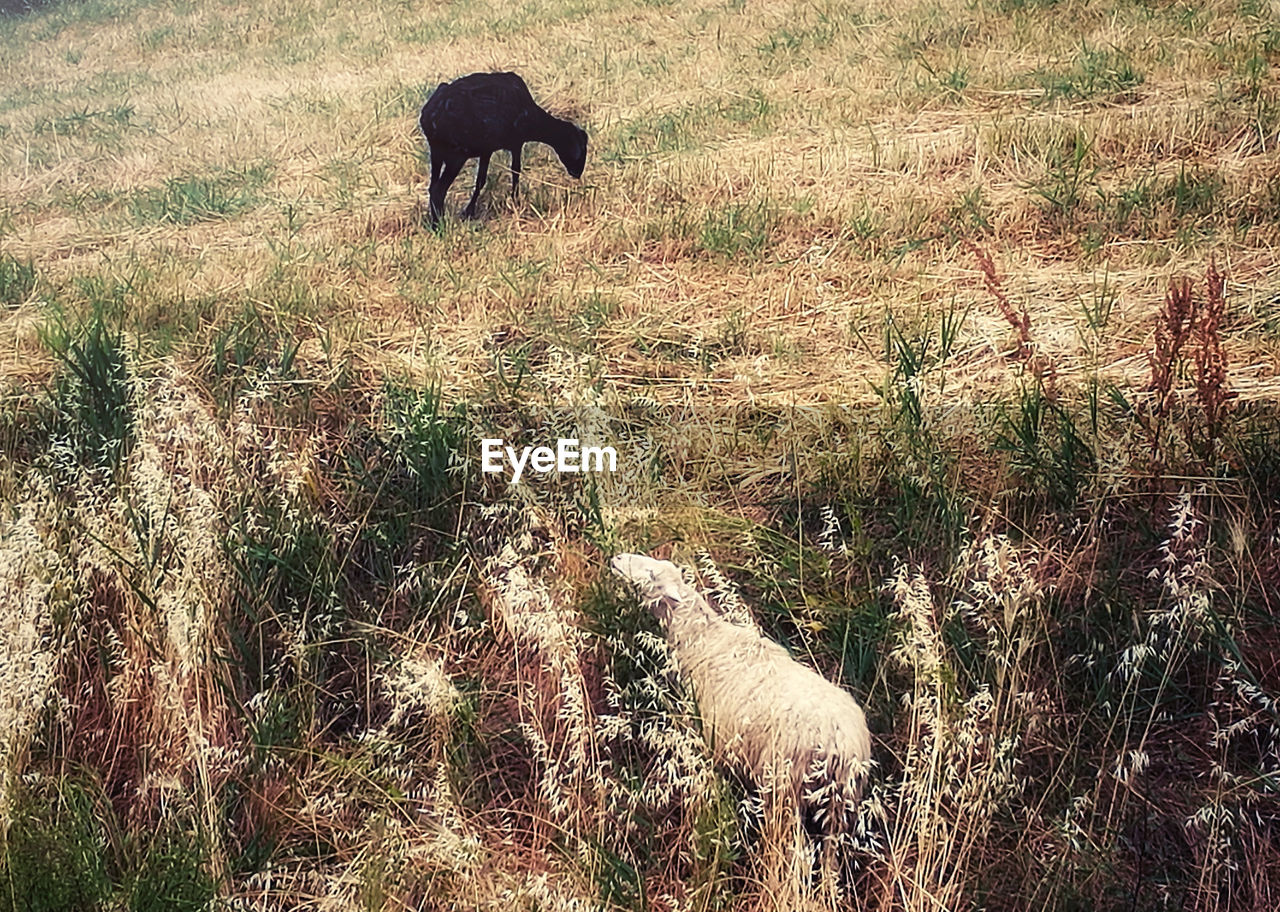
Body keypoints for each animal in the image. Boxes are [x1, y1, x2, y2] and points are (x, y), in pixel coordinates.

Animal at [419, 72, 588, 226]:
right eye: (581, 150)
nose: (577, 173)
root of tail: (432, 114)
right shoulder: (516, 143)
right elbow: (516, 171)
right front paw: (516, 201)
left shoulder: (486, 151)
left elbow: (480, 180)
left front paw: (469, 211)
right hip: (456, 156)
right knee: (438, 191)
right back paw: (439, 226)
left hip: (436, 151)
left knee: (432, 187)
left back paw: (435, 221)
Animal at [606, 548, 870, 840]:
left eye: (652, 574)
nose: (617, 559)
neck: (702, 635)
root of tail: (844, 745)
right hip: (837, 803)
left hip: (784, 784)